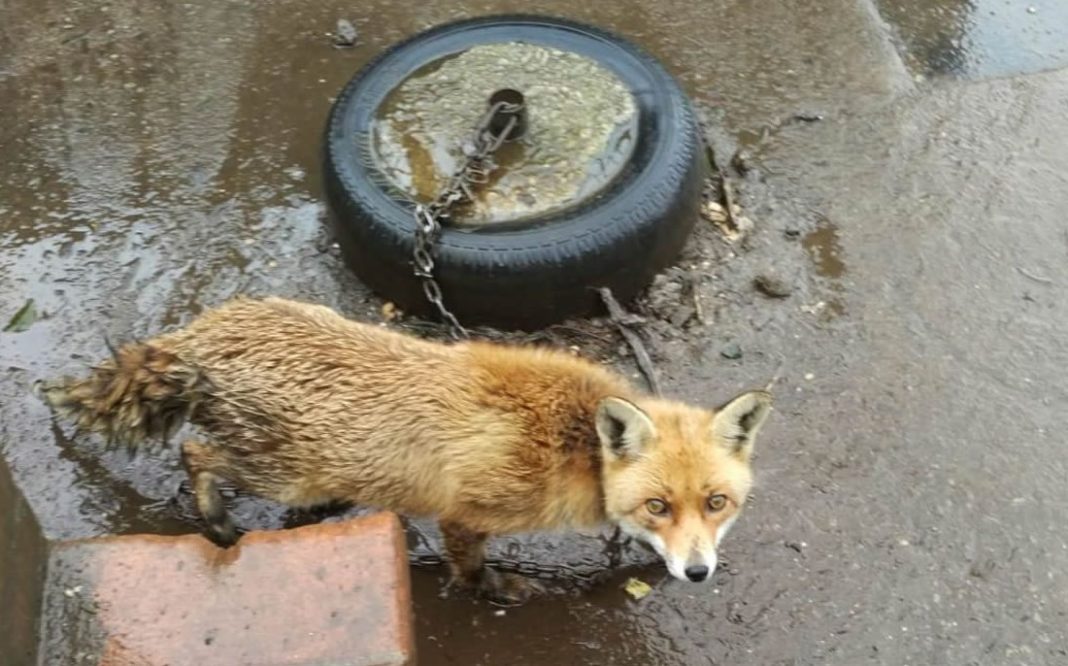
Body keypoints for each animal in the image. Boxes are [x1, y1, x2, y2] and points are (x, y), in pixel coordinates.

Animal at [43, 296, 772, 605]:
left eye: (715, 503)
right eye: (658, 506)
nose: (698, 574)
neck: (573, 448)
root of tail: (203, 333)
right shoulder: (465, 511)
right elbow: (470, 567)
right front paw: (495, 592)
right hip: (285, 475)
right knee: (195, 451)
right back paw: (218, 522)